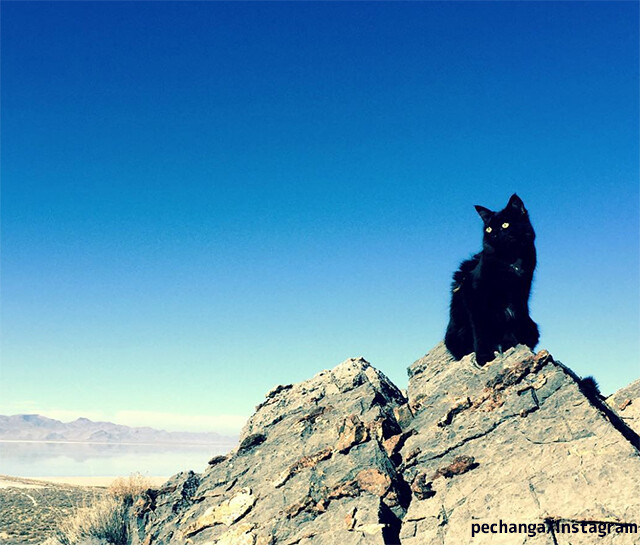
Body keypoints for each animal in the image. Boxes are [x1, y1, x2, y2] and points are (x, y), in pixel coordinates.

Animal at [444, 192, 540, 366]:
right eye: (488, 229)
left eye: (505, 225)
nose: (494, 234)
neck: (509, 261)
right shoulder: (475, 297)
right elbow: (480, 330)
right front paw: (483, 357)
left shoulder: (518, 297)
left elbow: (510, 321)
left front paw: (510, 344)